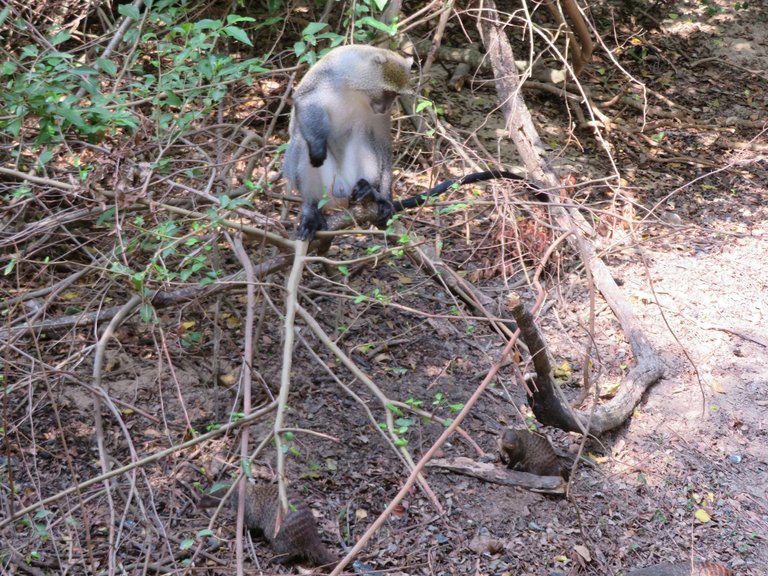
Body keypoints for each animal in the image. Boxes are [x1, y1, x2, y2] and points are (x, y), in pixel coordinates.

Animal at [282, 45, 414, 241]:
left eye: (395, 95)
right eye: (389, 93)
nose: (386, 107)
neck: (356, 87)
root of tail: (341, 191)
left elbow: (383, 142)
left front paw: (385, 199)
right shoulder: (330, 72)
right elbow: (304, 100)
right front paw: (317, 146)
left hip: (351, 180)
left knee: (362, 134)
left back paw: (369, 191)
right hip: (327, 190)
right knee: (302, 140)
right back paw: (311, 210)